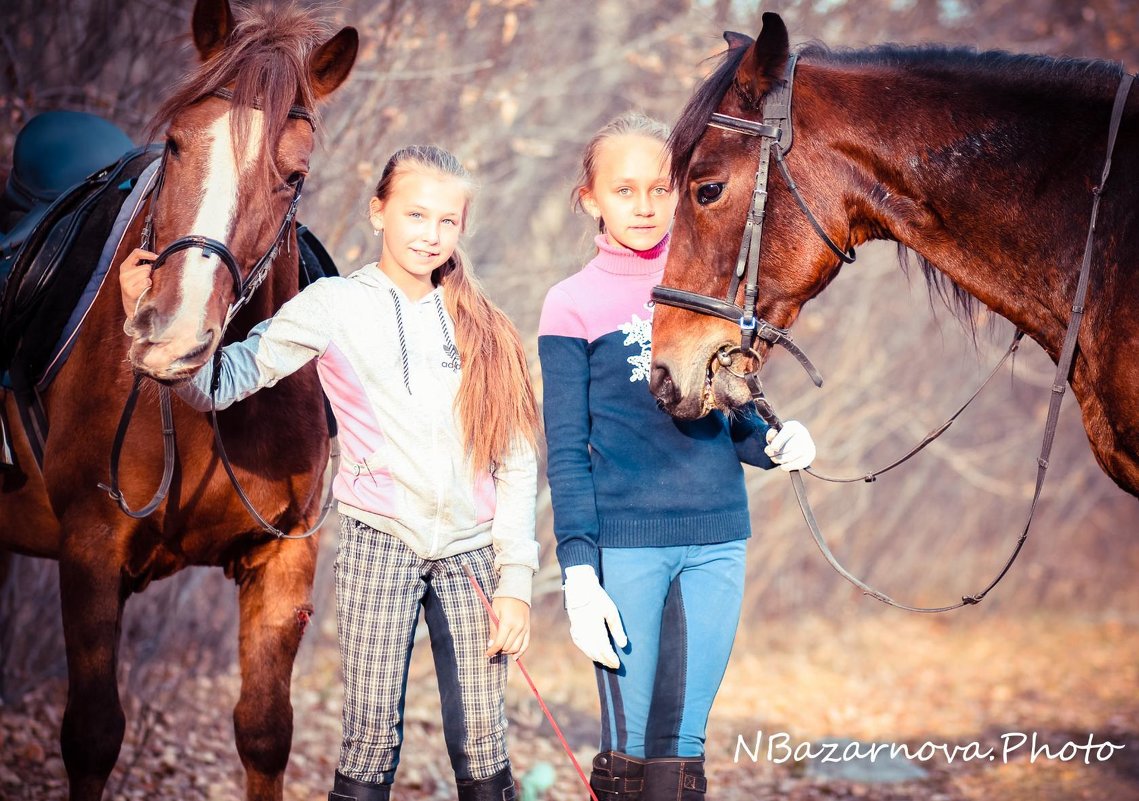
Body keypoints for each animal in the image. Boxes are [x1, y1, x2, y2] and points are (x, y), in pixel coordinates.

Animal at [0, 1, 355, 801]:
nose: (170, 337)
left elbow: (264, 731)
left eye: (294, 176)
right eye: (173, 142)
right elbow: (93, 736)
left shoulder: (282, 557)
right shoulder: (91, 545)